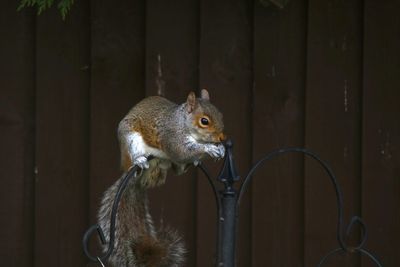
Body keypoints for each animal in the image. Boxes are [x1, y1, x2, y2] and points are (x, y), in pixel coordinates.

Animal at [97, 90, 225, 267]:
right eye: (204, 121)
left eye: (220, 114)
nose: (222, 138)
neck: (182, 123)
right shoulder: (171, 136)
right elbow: (181, 151)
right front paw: (209, 148)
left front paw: (220, 150)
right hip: (131, 140)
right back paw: (139, 161)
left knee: (179, 170)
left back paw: (192, 162)